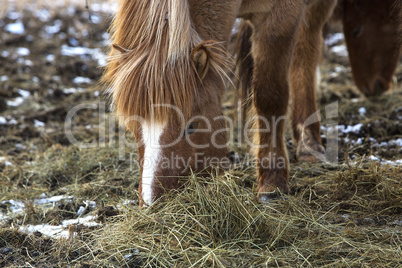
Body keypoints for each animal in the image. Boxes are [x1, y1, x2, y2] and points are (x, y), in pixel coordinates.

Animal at [103, 0, 398, 207]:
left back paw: (309, 143)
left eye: (192, 126)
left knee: (306, 47)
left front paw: (272, 184)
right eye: (133, 128)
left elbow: (270, 96)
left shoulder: (280, 18)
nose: (151, 203)